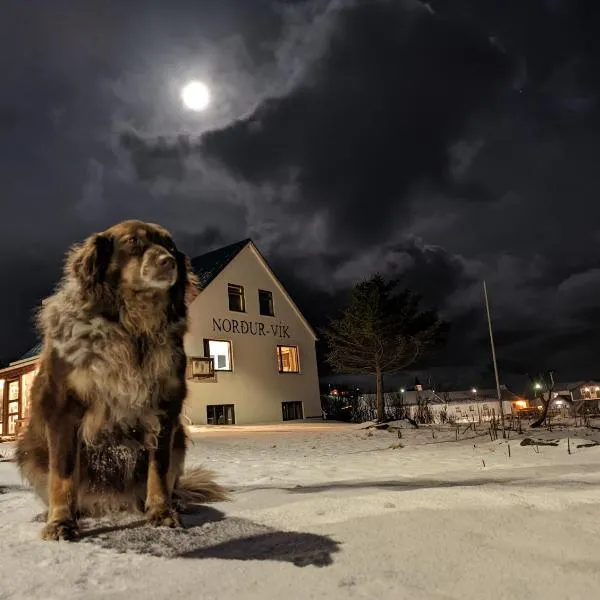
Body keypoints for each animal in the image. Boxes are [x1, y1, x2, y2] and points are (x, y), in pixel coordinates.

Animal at [17, 219, 227, 540]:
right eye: (132, 242)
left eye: (170, 246)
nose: (168, 261)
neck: (132, 328)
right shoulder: (63, 407)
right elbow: (63, 475)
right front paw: (60, 521)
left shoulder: (164, 409)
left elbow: (158, 470)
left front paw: (161, 512)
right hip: (29, 450)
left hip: (180, 439)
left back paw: (173, 502)